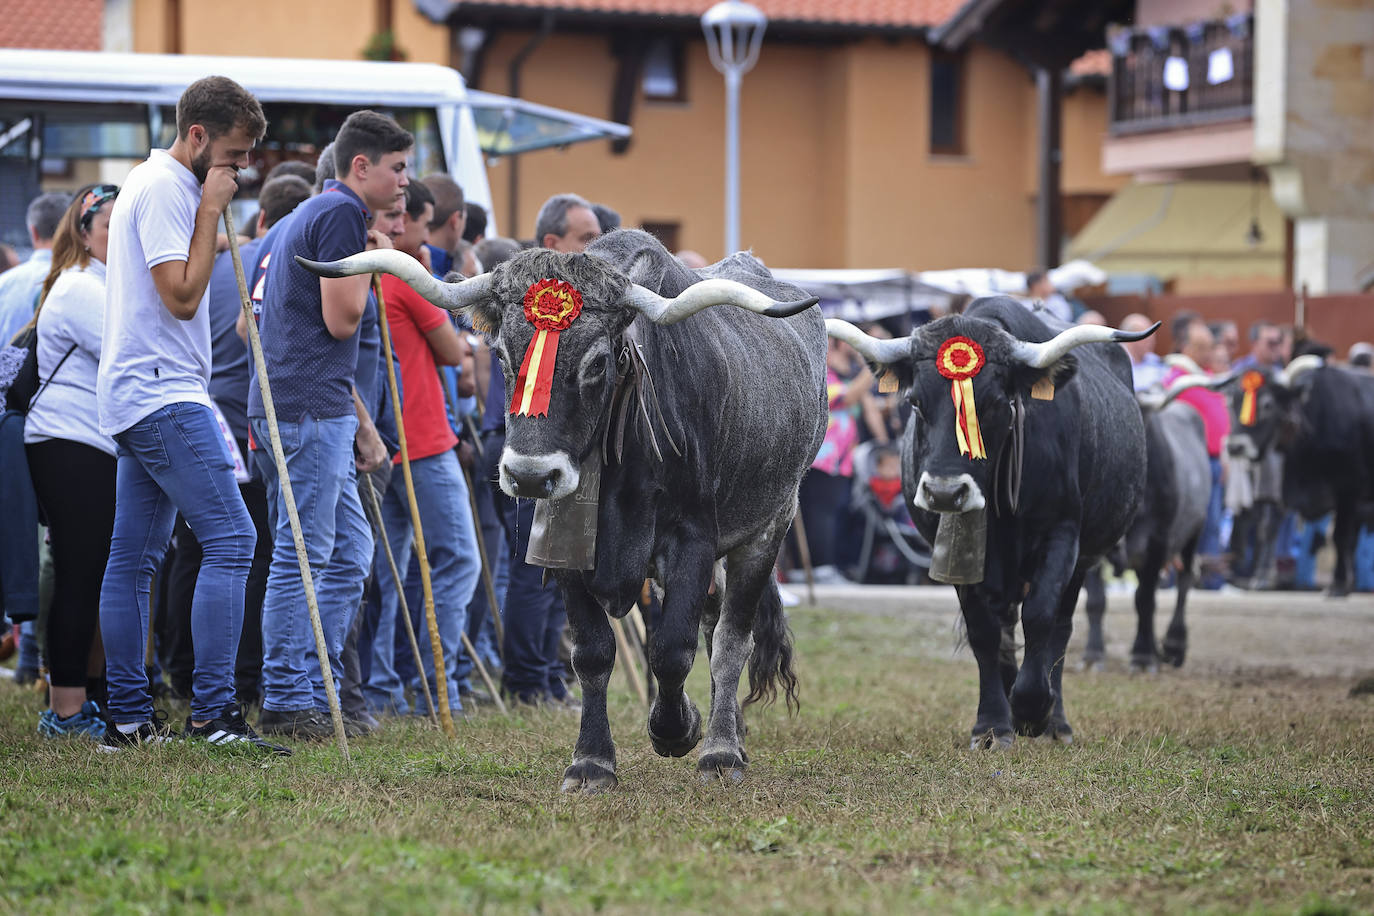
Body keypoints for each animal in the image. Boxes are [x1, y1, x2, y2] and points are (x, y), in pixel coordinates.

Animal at [295, 229, 818, 791]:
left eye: (597, 363)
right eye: (502, 356)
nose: (528, 475)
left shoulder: (693, 541)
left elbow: (673, 650)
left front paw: (678, 730)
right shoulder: (563, 542)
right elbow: (593, 652)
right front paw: (591, 761)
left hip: (765, 531)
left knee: (730, 640)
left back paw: (723, 749)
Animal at [824, 298, 1159, 747]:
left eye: (999, 403)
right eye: (916, 402)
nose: (945, 492)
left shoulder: (1062, 535)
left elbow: (1041, 616)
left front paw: (1033, 709)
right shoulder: (957, 549)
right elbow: (983, 631)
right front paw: (992, 724)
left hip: (1082, 560)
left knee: (1061, 629)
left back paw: (1056, 721)